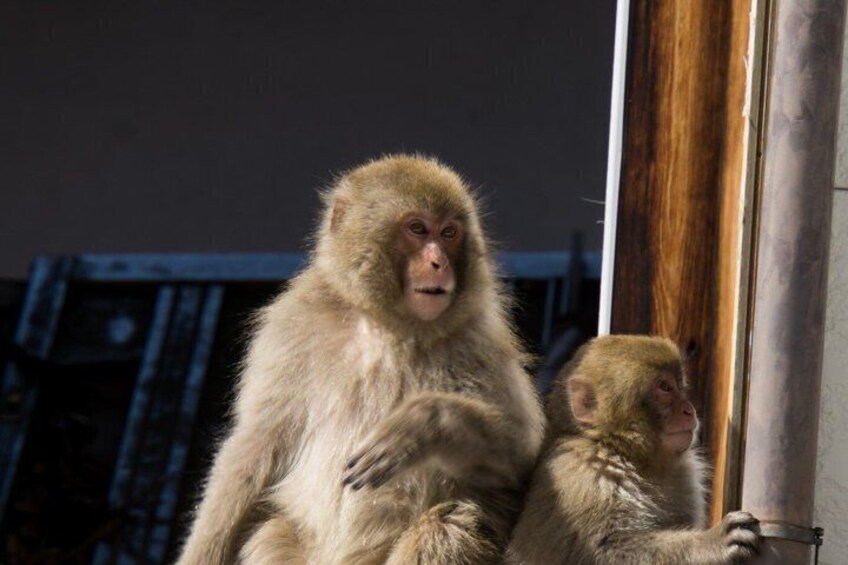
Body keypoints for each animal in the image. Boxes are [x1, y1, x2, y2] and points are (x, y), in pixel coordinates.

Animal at [176, 155, 544, 565]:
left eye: (449, 232)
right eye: (418, 229)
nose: (438, 263)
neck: (384, 323)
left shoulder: (482, 338)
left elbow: (521, 458)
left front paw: (425, 423)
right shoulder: (288, 329)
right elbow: (256, 444)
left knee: (446, 526)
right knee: (270, 534)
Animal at [505, 335, 761, 565]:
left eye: (679, 385)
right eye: (664, 388)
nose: (689, 410)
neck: (627, 453)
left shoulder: (686, 475)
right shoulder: (580, 479)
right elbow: (600, 551)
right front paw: (710, 542)